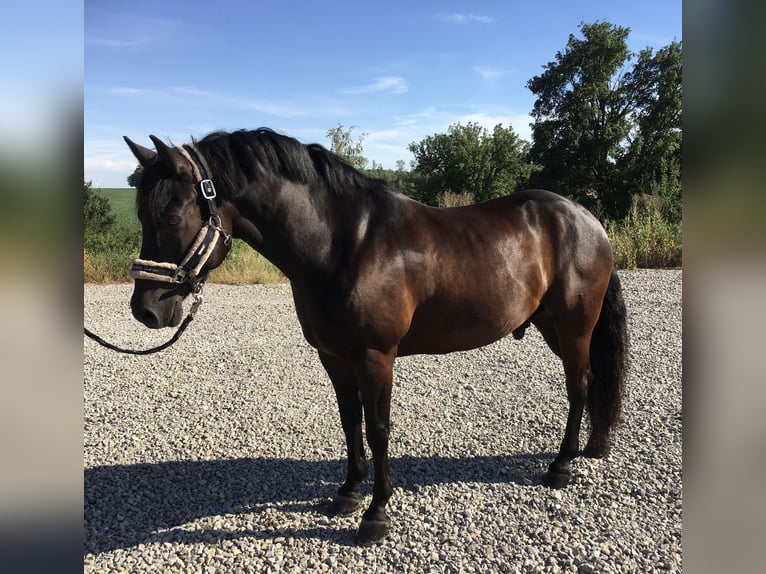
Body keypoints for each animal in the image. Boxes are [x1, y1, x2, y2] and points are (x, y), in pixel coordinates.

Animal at [124, 128, 632, 548]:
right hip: (551, 325)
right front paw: (349, 493)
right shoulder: (333, 356)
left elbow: (379, 427)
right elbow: (351, 421)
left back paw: (561, 466)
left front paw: (377, 513)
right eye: (142, 215)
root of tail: (585, 217)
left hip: (574, 326)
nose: (146, 310)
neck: (343, 244)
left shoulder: (375, 356)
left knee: (579, 385)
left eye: (172, 216)